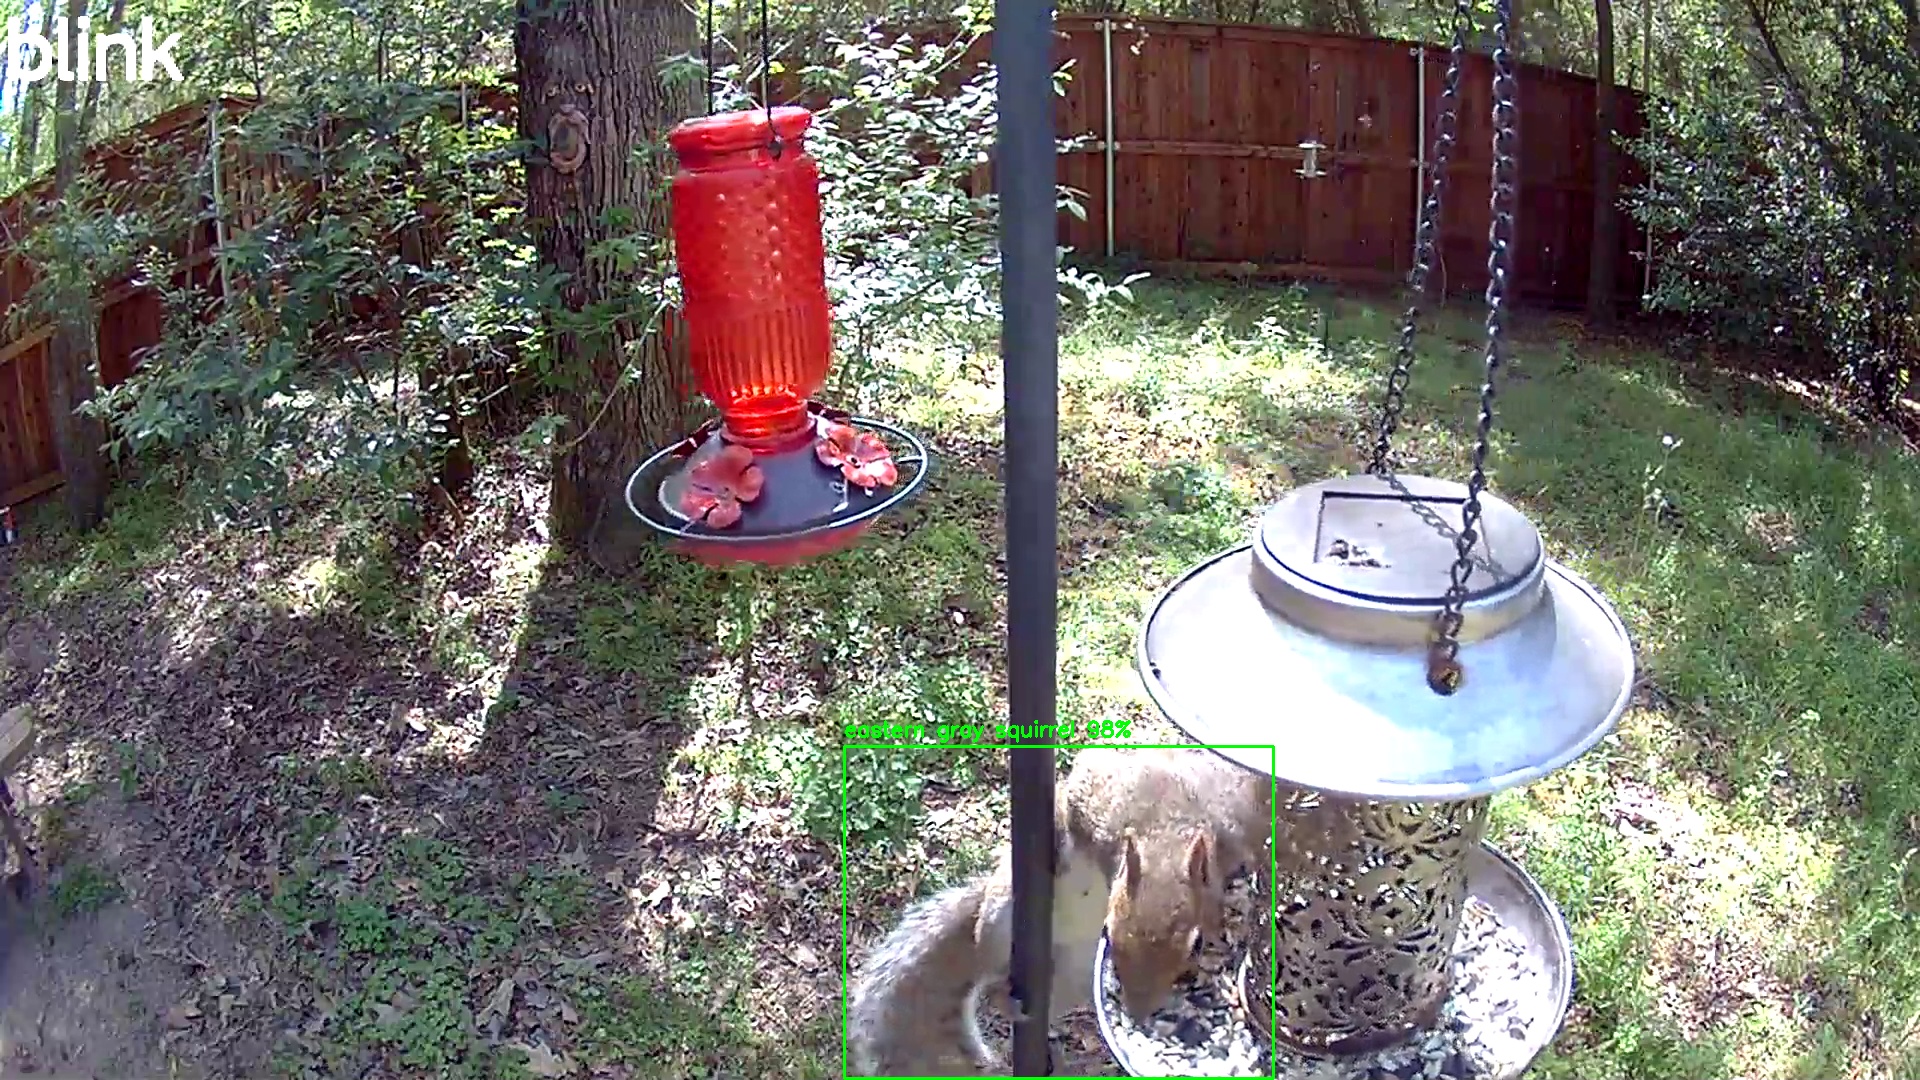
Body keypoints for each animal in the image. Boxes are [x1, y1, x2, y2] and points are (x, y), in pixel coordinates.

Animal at [846, 745, 1272, 1074]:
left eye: (1195, 946)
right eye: (1109, 933)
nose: (1137, 1014)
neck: (1163, 833)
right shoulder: (1091, 793)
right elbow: (1064, 804)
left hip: (1070, 976)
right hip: (1001, 920)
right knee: (992, 971)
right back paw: (1007, 997)